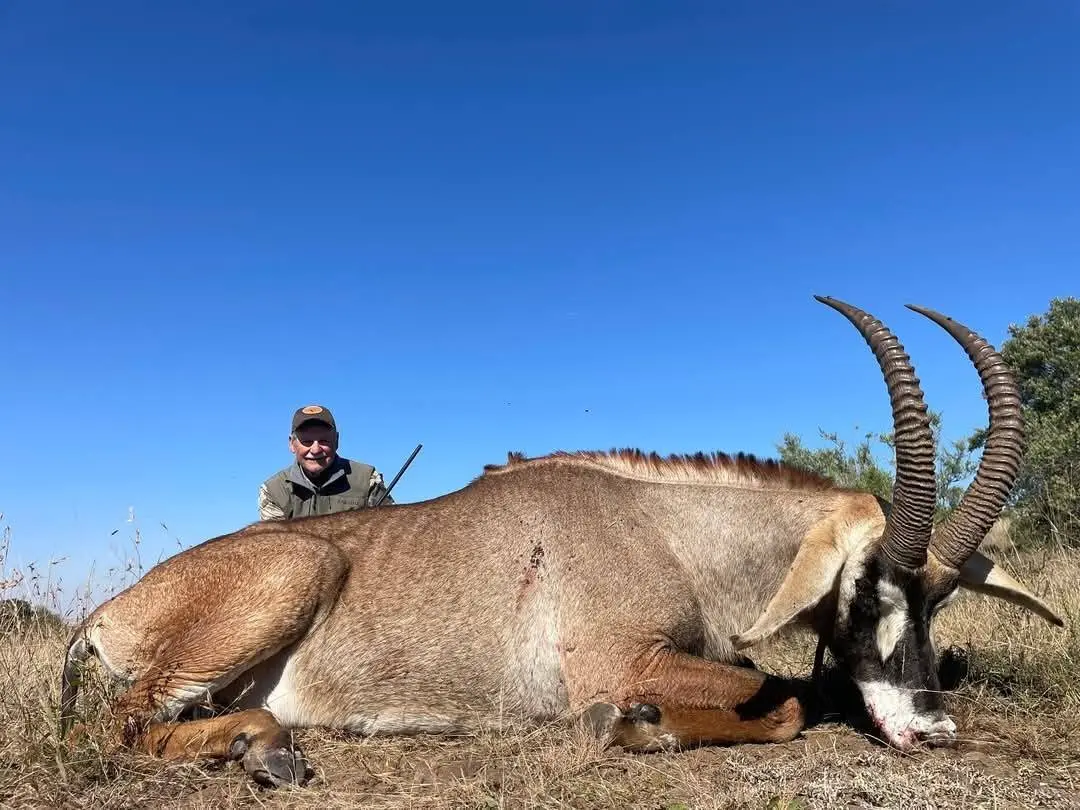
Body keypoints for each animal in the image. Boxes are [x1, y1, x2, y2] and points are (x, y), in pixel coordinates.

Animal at [60, 297, 1064, 788]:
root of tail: (105, 613)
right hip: (297, 573)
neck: (667, 531)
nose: (932, 728)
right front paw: (629, 725)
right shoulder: (619, 661)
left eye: (940, 600)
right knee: (126, 725)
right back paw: (259, 749)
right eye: (865, 587)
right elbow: (778, 700)